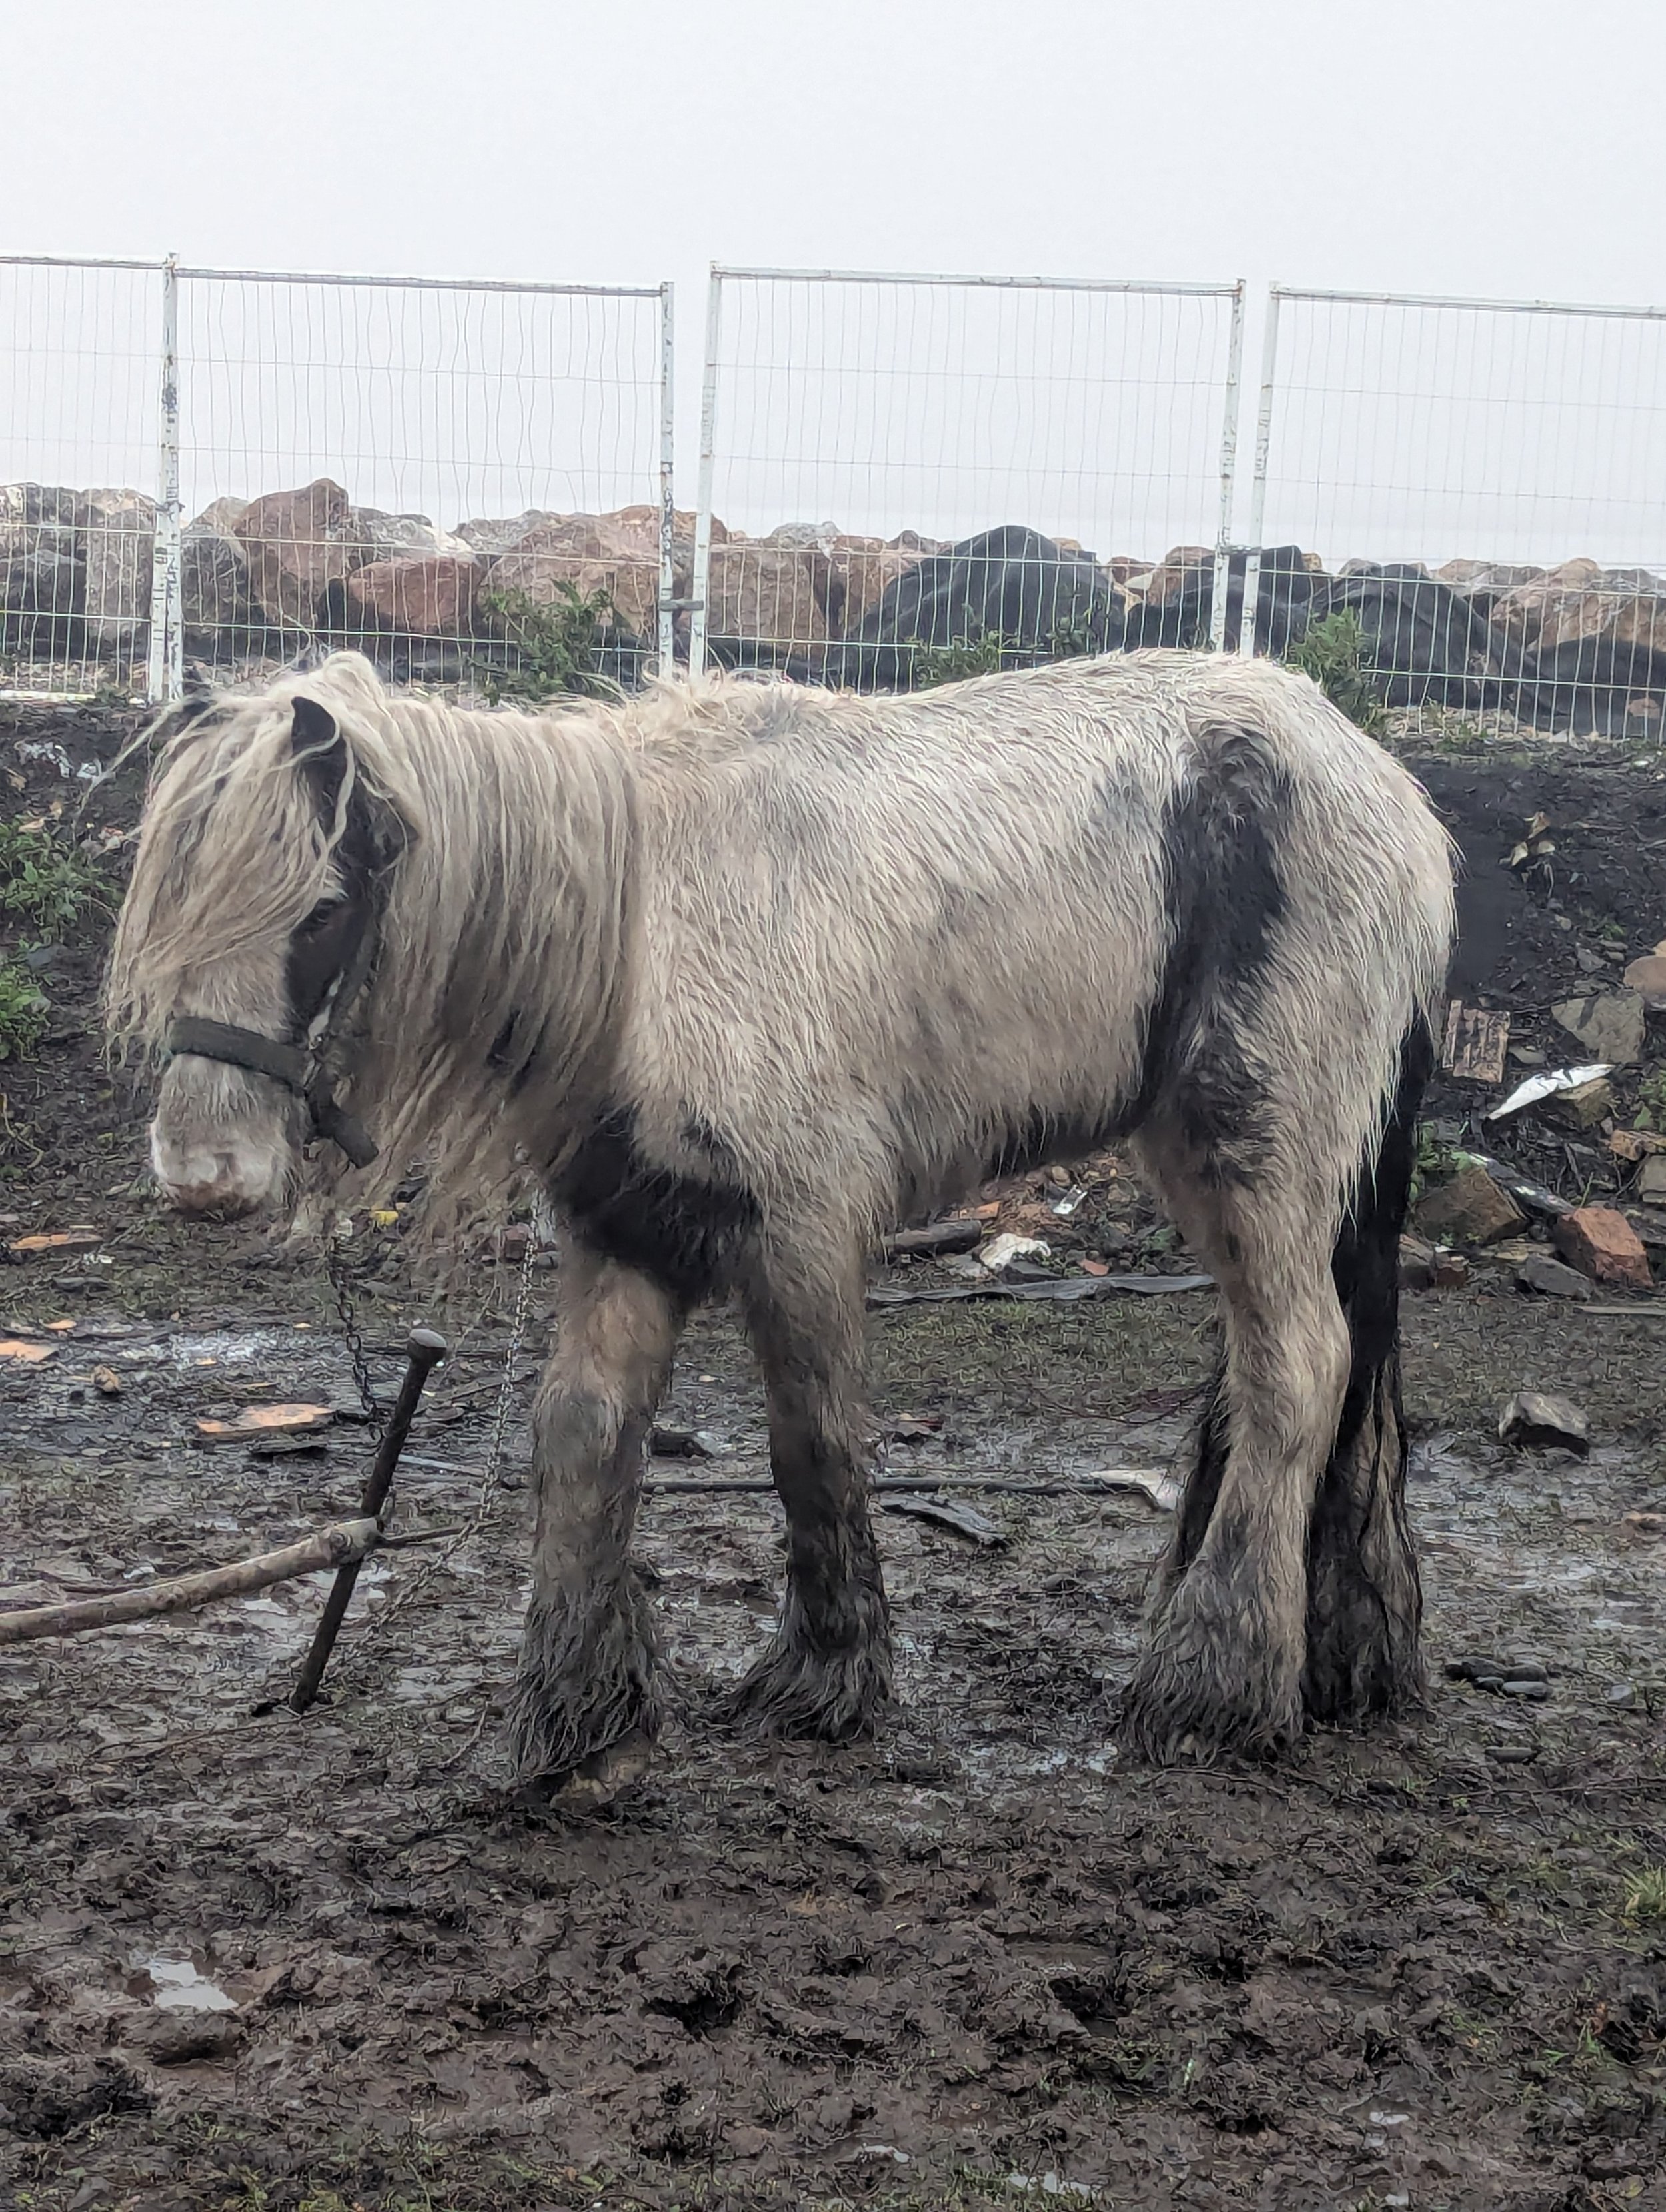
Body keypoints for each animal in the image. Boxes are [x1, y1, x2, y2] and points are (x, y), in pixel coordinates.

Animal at [106, 647, 1455, 1792]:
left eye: (323, 912)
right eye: (166, 907)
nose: (202, 1172)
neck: (643, 925)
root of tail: (1381, 782)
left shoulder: (800, 1231)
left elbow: (811, 1444)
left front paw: (824, 1681)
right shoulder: (628, 1229)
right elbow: (583, 1437)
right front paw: (574, 1718)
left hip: (1258, 1154)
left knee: (1298, 1372)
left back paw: (1214, 1685)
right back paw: (1334, 1660)